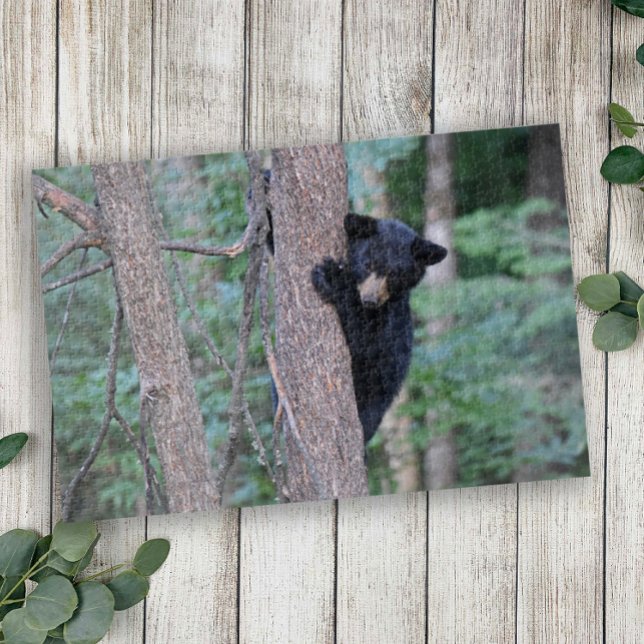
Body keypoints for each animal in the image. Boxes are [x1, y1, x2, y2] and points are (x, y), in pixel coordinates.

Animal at [312, 213, 447, 444]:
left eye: (395, 275)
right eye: (367, 264)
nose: (370, 300)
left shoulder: (391, 321)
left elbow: (365, 343)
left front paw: (331, 276)